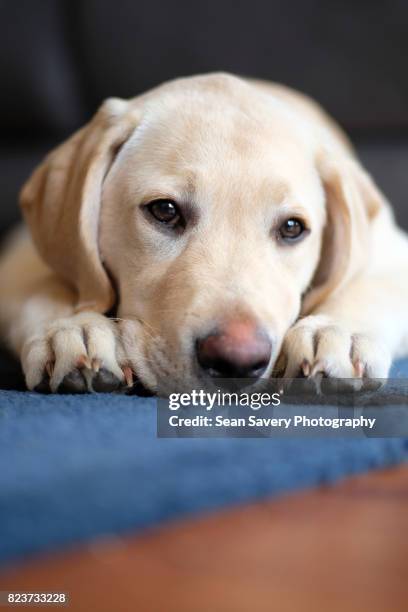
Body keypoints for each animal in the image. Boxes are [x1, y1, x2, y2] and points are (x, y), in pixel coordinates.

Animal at [0, 74, 408, 394]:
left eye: (293, 228)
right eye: (165, 210)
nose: (237, 361)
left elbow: (368, 287)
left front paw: (338, 333)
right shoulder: (18, 259)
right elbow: (45, 289)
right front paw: (70, 329)